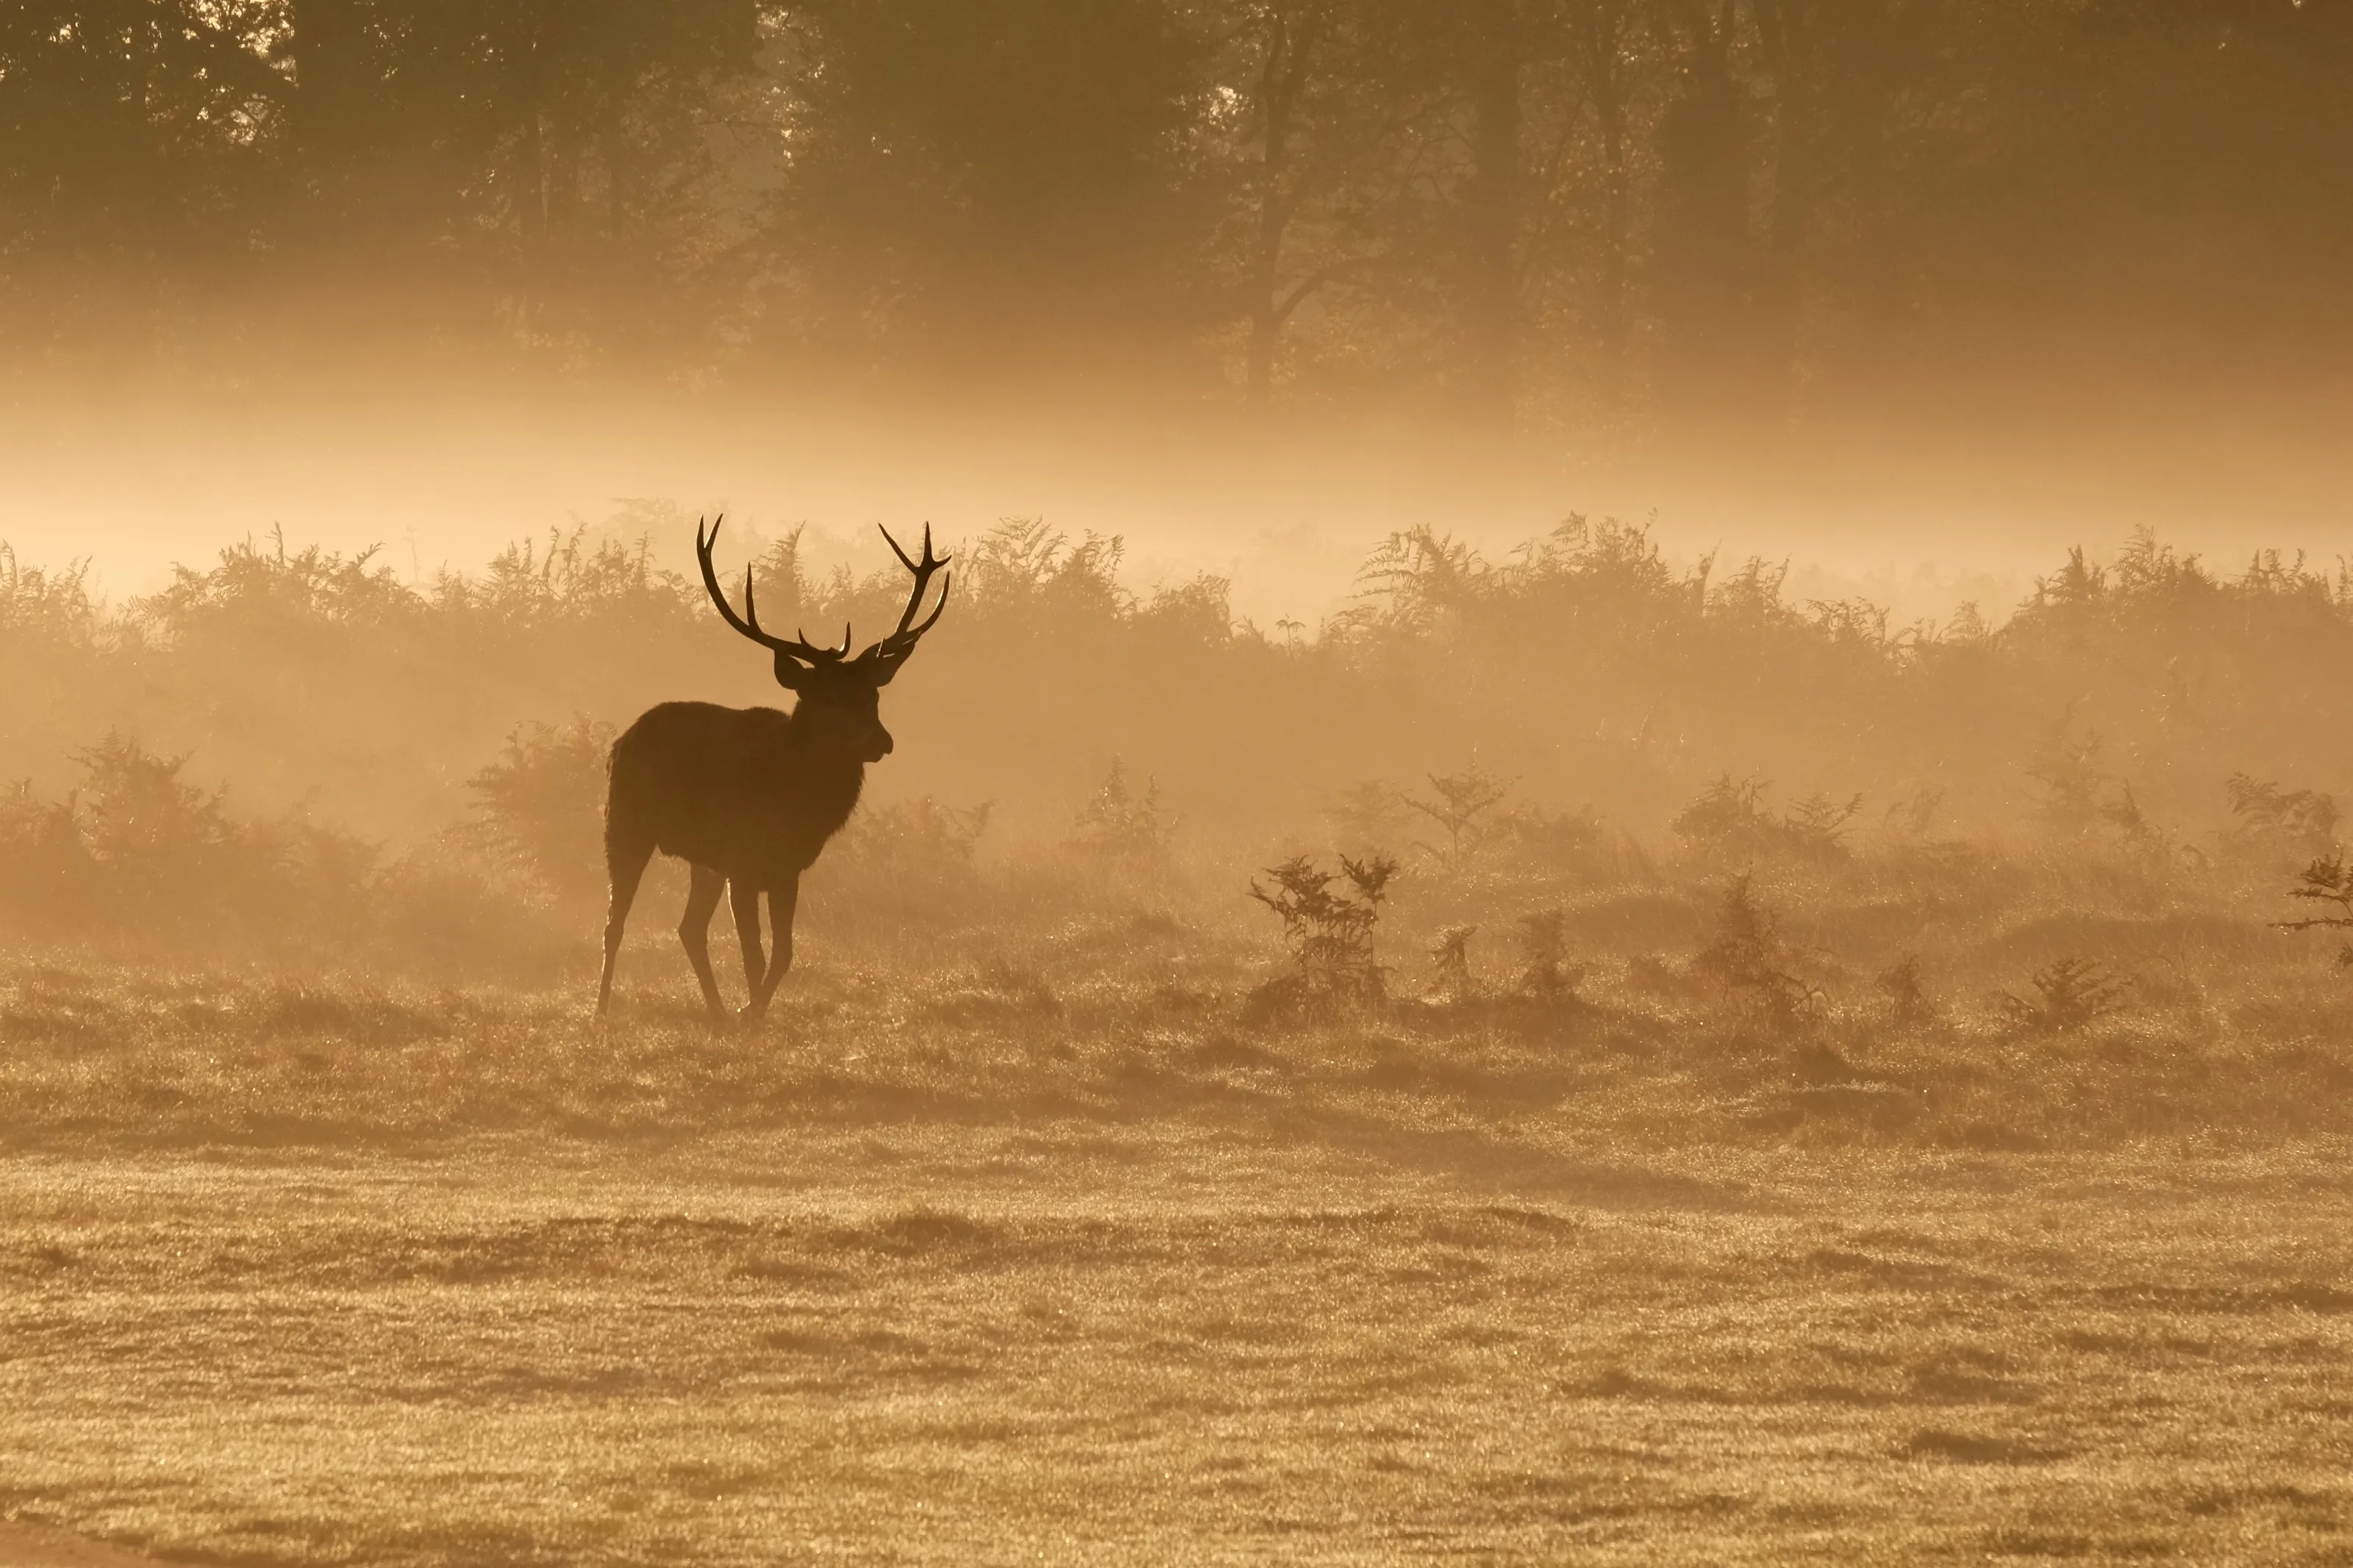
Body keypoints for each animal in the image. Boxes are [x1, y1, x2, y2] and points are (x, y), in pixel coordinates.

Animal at [594, 516, 950, 1024]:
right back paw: (601, 1010)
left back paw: (718, 1012)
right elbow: (753, 953)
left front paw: (752, 1012)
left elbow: (783, 953)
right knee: (615, 922)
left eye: (873, 695)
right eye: (825, 698)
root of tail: (622, 739)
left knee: (688, 927)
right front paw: (751, 1014)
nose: (881, 742)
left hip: (703, 859)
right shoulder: (742, 862)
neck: (789, 804)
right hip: (624, 824)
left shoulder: (788, 869)